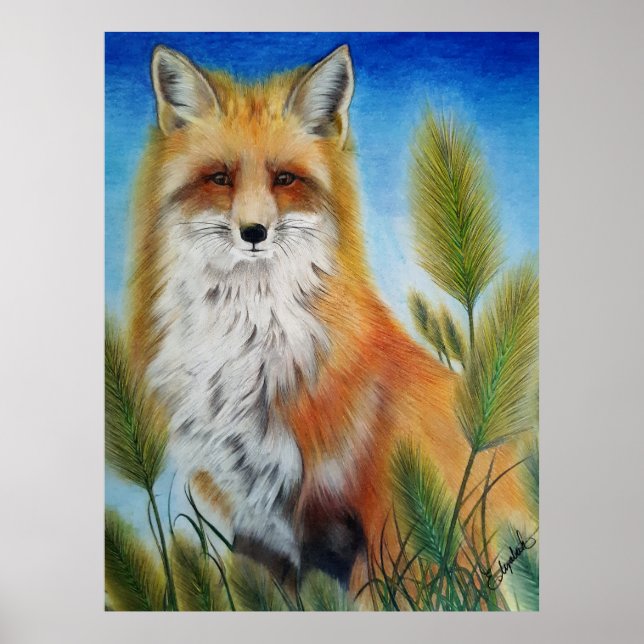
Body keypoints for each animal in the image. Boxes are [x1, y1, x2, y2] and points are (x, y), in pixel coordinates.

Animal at [126, 43, 530, 595]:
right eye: (220, 178)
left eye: (284, 179)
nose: (253, 232)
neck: (246, 347)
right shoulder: (257, 520)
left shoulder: (352, 519)